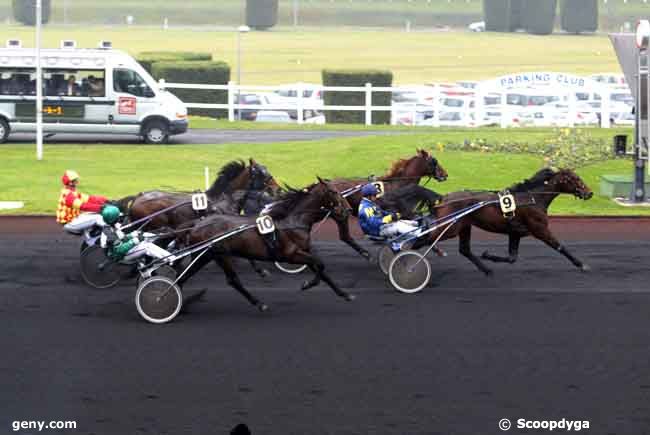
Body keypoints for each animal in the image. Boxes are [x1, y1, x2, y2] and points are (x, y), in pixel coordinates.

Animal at [176, 179, 354, 312]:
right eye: (333, 192)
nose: (348, 209)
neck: (293, 222)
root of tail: (197, 224)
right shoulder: (292, 255)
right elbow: (320, 265)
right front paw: (308, 284)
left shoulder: (303, 251)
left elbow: (322, 271)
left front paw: (344, 294)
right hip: (216, 255)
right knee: (230, 280)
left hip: (208, 256)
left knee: (186, 276)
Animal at [416, 169, 592, 276]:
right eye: (576, 179)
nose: (589, 193)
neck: (532, 198)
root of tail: (443, 198)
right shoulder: (540, 229)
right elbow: (560, 247)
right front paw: (581, 264)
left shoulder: (515, 233)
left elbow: (512, 257)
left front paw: (488, 255)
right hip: (451, 227)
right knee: (426, 239)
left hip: (464, 226)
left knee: (464, 249)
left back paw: (487, 270)